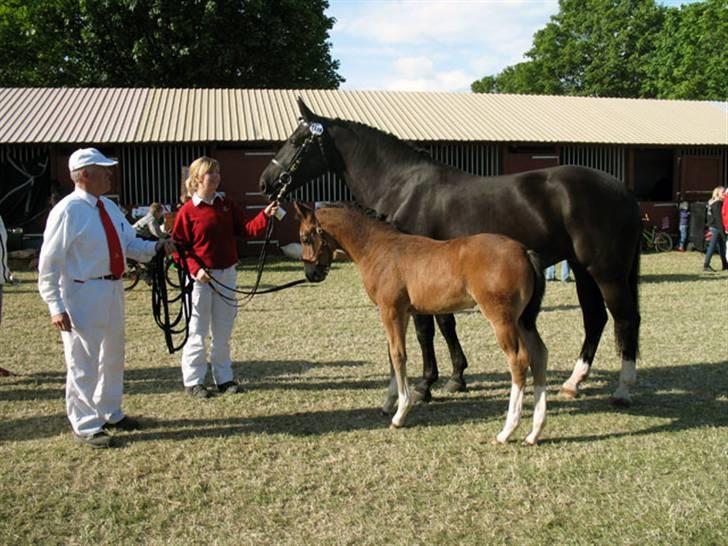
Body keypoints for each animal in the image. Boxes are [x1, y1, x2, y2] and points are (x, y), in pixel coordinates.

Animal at [262, 96, 644, 404]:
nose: (266, 182)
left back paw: (623, 389)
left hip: (605, 271)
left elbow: (425, 330)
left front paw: (424, 385)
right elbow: (446, 323)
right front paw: (456, 377)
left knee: (624, 318)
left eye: (296, 141)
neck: (403, 186)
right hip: (582, 269)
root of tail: (623, 190)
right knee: (595, 318)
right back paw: (574, 382)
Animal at [292, 202, 548, 444]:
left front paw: (400, 413)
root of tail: (525, 252)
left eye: (305, 237)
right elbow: (391, 355)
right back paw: (534, 433)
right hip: (523, 321)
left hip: (502, 320)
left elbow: (398, 355)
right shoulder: (402, 313)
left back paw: (506, 431)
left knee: (518, 360)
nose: (310, 274)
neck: (379, 249)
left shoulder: (390, 311)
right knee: (539, 355)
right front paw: (389, 404)